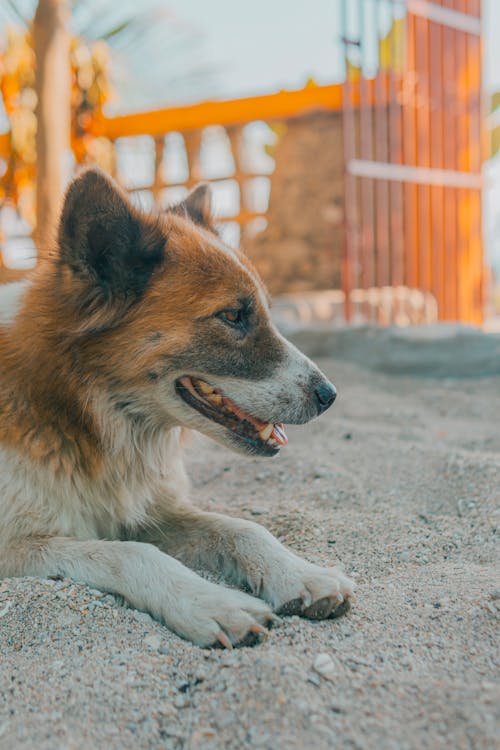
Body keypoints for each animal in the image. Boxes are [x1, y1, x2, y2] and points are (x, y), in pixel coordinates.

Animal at [0, 169, 354, 648]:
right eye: (233, 315)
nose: (329, 395)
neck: (76, 411)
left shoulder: (151, 510)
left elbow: (243, 528)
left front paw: (300, 573)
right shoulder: (17, 545)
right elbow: (133, 554)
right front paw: (212, 603)